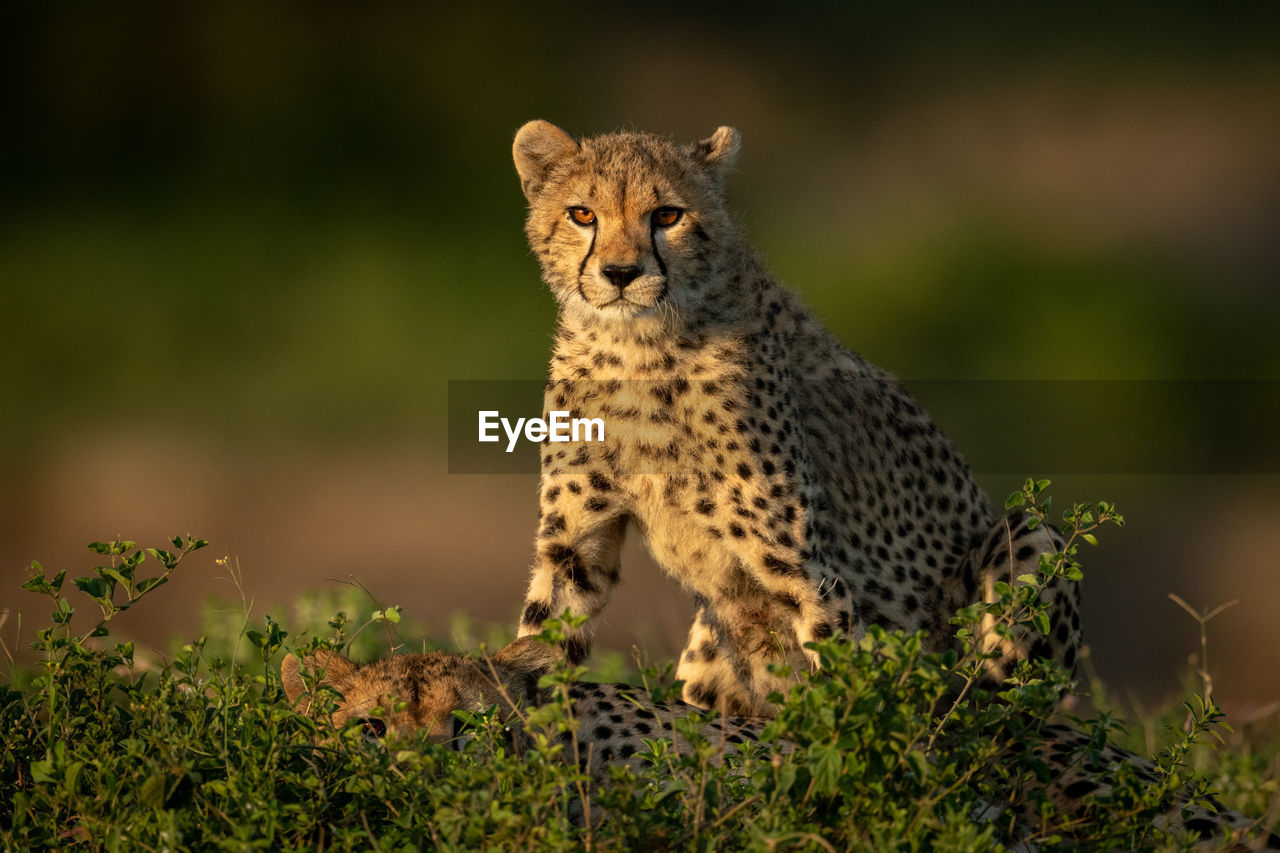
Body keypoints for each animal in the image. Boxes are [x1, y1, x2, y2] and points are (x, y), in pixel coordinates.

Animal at [509, 117, 1080, 712]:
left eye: (667, 215)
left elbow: (838, 672)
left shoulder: (806, 566)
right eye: (582, 215)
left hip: (1032, 539)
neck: (633, 345)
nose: (620, 272)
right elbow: (546, 627)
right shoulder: (577, 540)